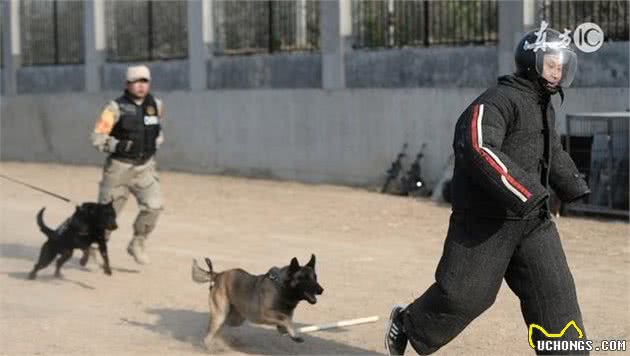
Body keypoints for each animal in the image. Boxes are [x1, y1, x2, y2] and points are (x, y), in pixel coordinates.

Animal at [191, 254, 326, 350]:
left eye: (315, 277)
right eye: (304, 278)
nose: (321, 290)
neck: (281, 287)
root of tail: (218, 275)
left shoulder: (280, 325)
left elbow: (286, 323)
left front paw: (293, 335)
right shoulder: (266, 314)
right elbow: (286, 318)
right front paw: (296, 335)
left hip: (234, 318)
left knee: (216, 330)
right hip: (221, 314)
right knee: (208, 335)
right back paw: (211, 347)